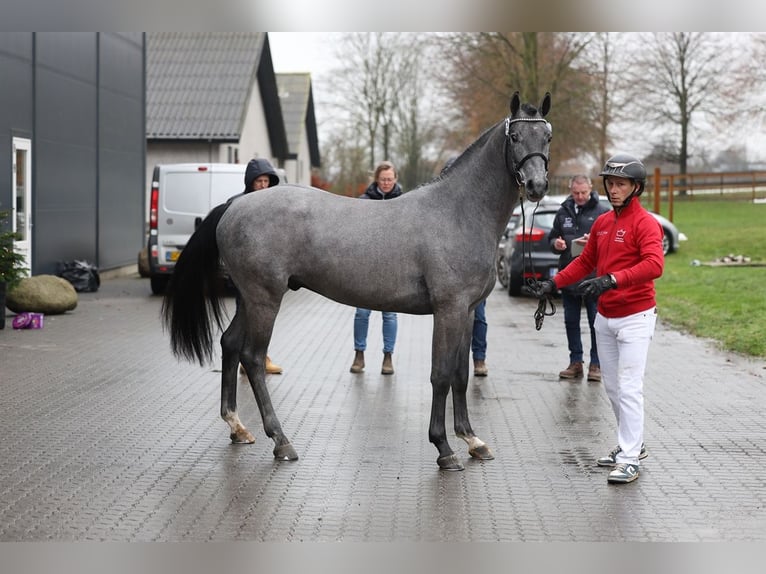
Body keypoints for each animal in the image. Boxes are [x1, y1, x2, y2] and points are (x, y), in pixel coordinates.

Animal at [165, 92, 556, 472]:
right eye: (515, 136)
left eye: (548, 136)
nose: (537, 185)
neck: (458, 212)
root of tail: (233, 207)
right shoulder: (449, 309)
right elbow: (441, 375)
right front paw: (444, 448)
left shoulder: (469, 310)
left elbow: (461, 374)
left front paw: (473, 440)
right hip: (265, 298)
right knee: (253, 357)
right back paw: (281, 441)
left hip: (248, 298)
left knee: (230, 344)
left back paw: (237, 427)